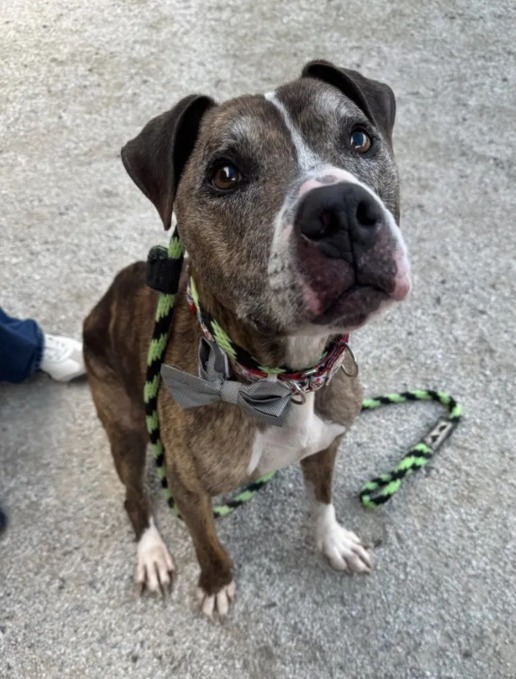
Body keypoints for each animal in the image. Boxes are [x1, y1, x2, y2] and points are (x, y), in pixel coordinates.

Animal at [83, 60, 411, 620]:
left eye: (360, 138)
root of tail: (99, 308)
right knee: (134, 498)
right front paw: (216, 583)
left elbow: (321, 499)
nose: (341, 209)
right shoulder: (188, 489)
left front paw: (333, 541)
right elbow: (207, 543)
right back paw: (152, 553)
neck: (284, 380)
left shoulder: (327, 444)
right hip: (124, 425)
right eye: (225, 174)